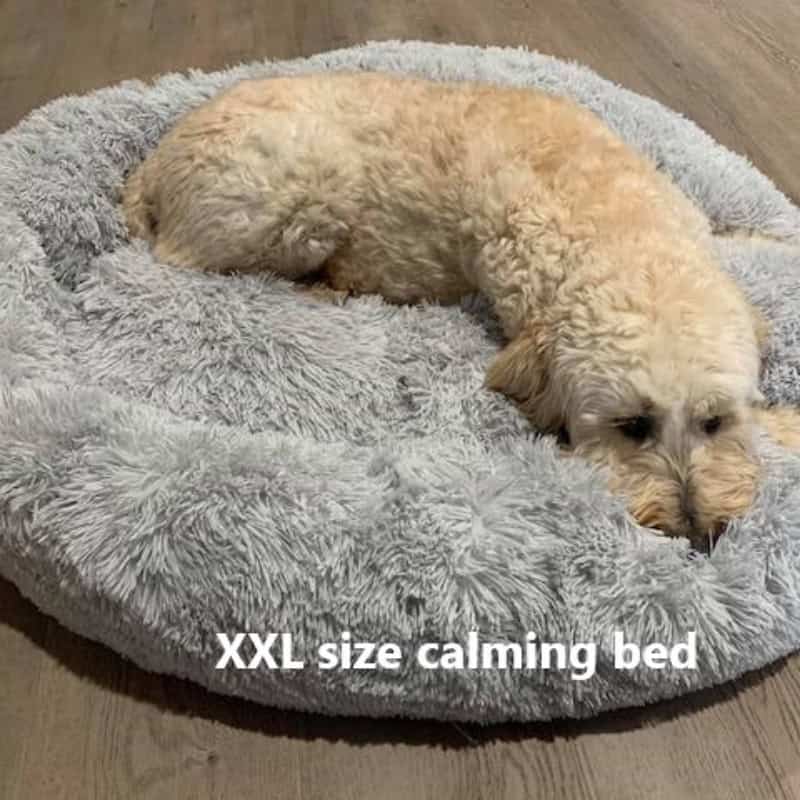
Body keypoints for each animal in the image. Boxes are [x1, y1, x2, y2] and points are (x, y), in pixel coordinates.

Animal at [122, 73, 796, 544]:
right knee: (202, 264)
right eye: (632, 425)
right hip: (296, 192)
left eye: (715, 421)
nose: (696, 530)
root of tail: (153, 163)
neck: (624, 235)